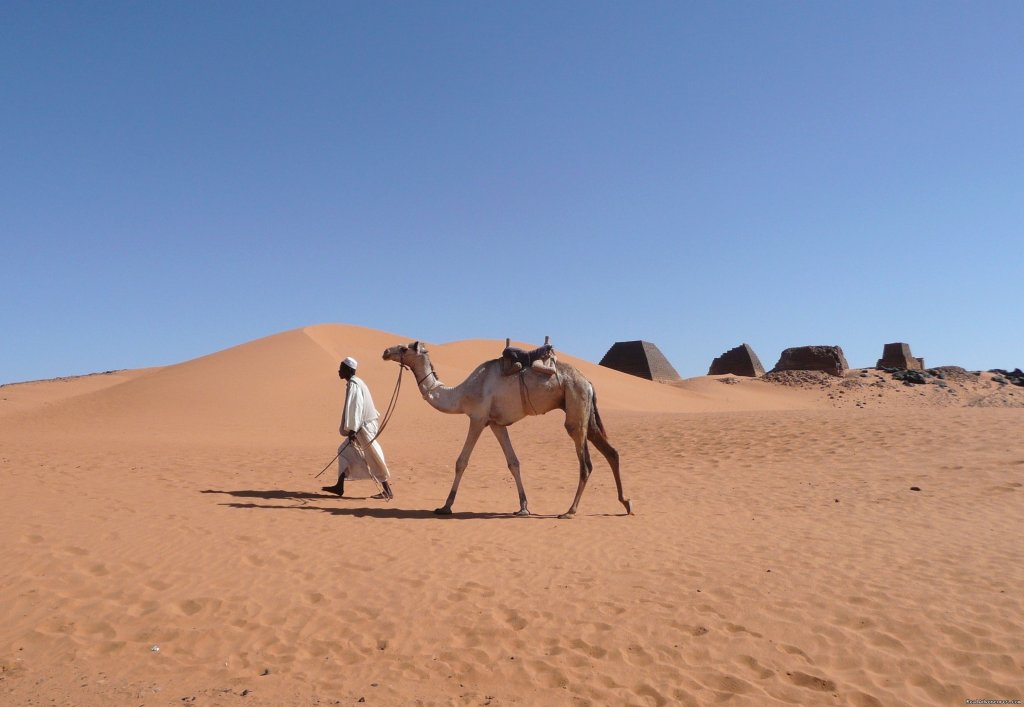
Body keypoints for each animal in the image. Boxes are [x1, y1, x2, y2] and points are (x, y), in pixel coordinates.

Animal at [380, 338, 626, 514]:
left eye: (404, 348)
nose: (385, 352)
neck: (461, 394)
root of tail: (589, 382)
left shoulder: (477, 418)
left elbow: (461, 462)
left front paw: (445, 507)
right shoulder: (496, 424)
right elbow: (513, 462)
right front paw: (524, 507)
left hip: (576, 405)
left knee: (586, 462)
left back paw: (570, 510)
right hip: (585, 412)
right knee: (611, 452)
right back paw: (626, 503)